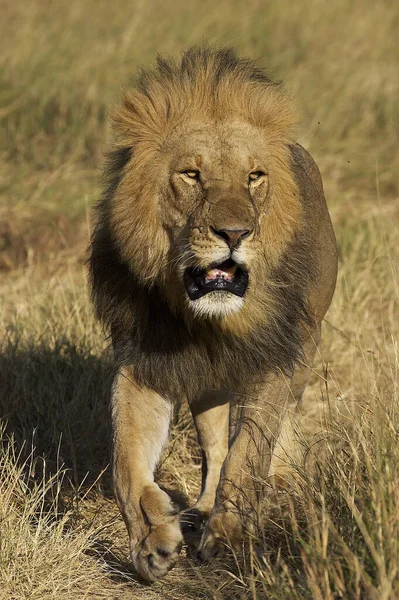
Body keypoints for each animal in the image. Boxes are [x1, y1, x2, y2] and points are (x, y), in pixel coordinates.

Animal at [88, 47, 338, 580]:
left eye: (254, 177)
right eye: (191, 175)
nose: (235, 233)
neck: (207, 318)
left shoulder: (274, 359)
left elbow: (249, 455)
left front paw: (227, 537)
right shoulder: (144, 359)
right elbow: (125, 459)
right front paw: (151, 541)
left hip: (305, 348)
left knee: (273, 429)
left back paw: (276, 484)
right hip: (208, 382)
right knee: (215, 445)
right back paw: (201, 509)